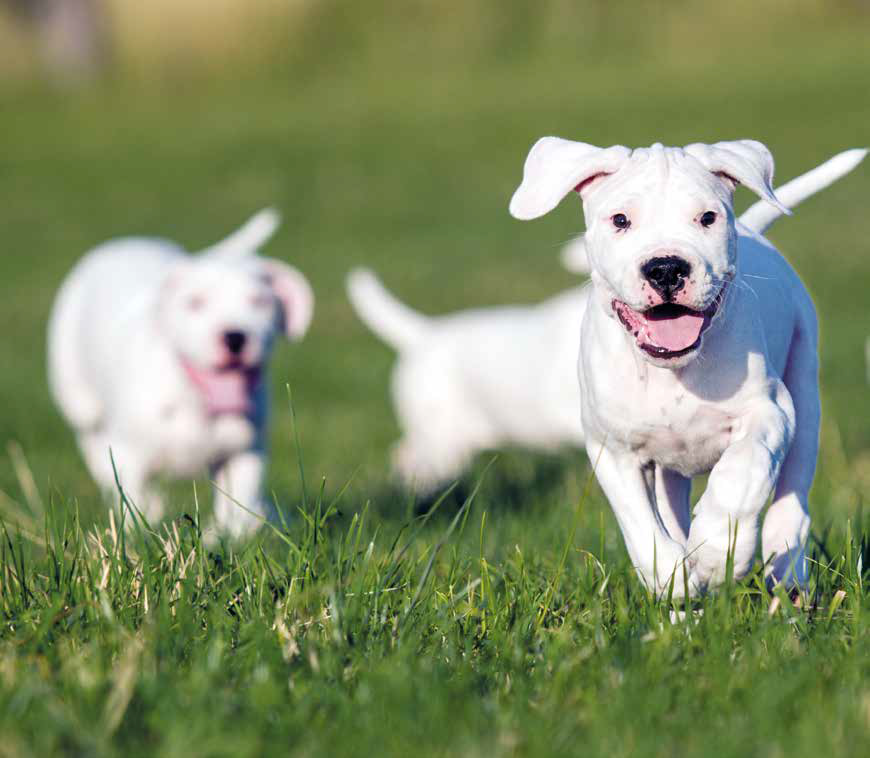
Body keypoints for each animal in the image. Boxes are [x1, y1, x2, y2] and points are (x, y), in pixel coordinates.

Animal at [47, 211, 314, 536]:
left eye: (260, 302)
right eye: (194, 302)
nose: (234, 336)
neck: (195, 400)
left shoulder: (245, 452)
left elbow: (239, 504)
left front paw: (232, 534)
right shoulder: (127, 455)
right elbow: (133, 497)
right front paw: (138, 530)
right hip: (79, 400)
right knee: (92, 442)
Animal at [348, 150, 864, 510]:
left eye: (707, 218)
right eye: (620, 221)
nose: (666, 268)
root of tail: (421, 334)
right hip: (443, 432)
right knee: (410, 457)